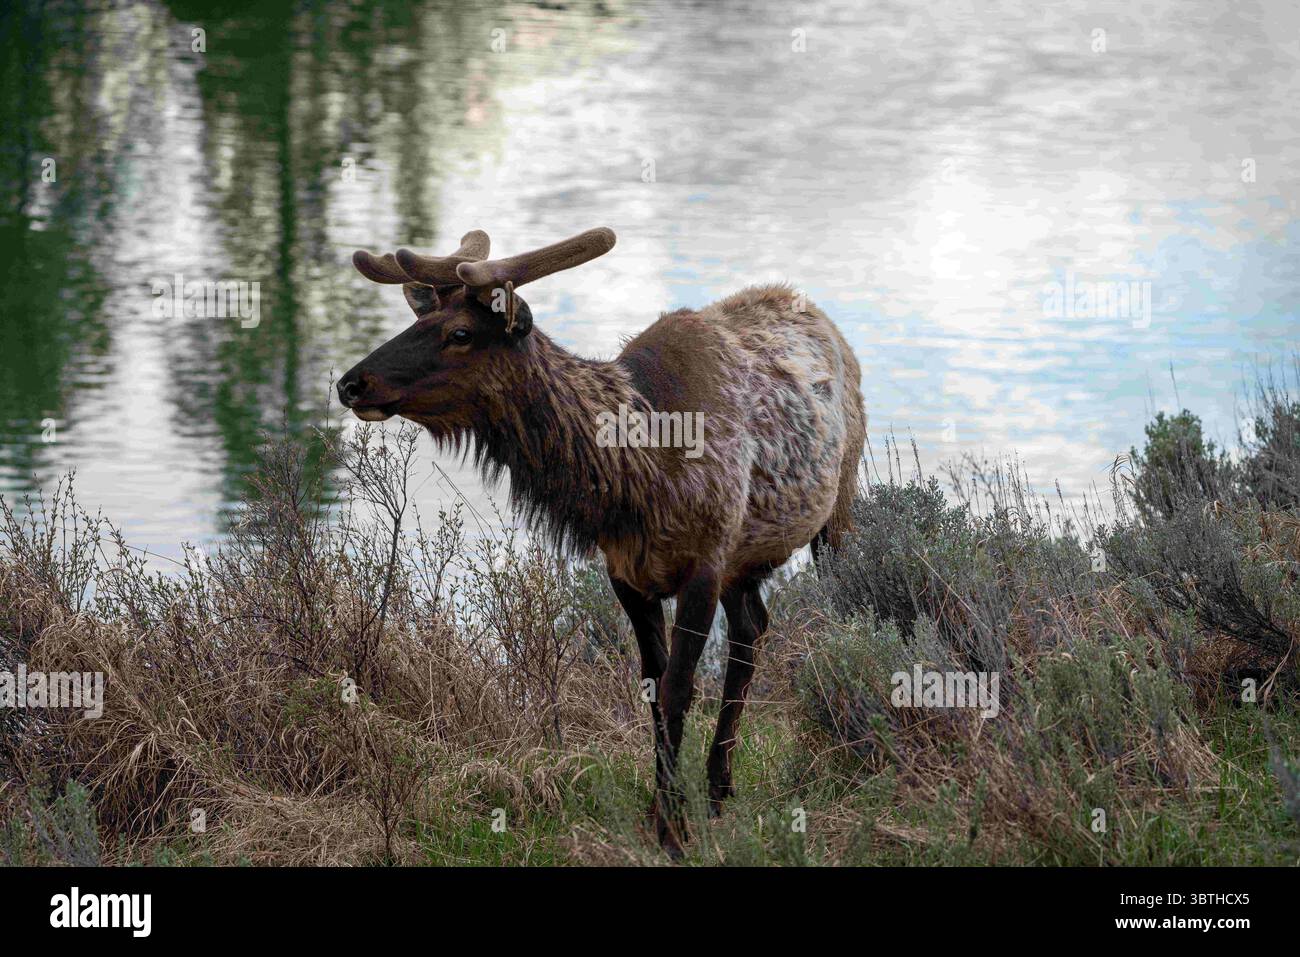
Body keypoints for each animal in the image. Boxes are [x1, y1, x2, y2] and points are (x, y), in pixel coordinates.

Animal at [338, 227, 865, 857]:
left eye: (460, 333)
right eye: (420, 319)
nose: (349, 383)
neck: (639, 478)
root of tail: (817, 314)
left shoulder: (705, 562)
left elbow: (678, 688)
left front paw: (673, 830)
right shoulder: (629, 572)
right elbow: (652, 689)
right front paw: (661, 810)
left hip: (838, 508)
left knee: (815, 614)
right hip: (747, 560)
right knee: (753, 628)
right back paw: (719, 786)